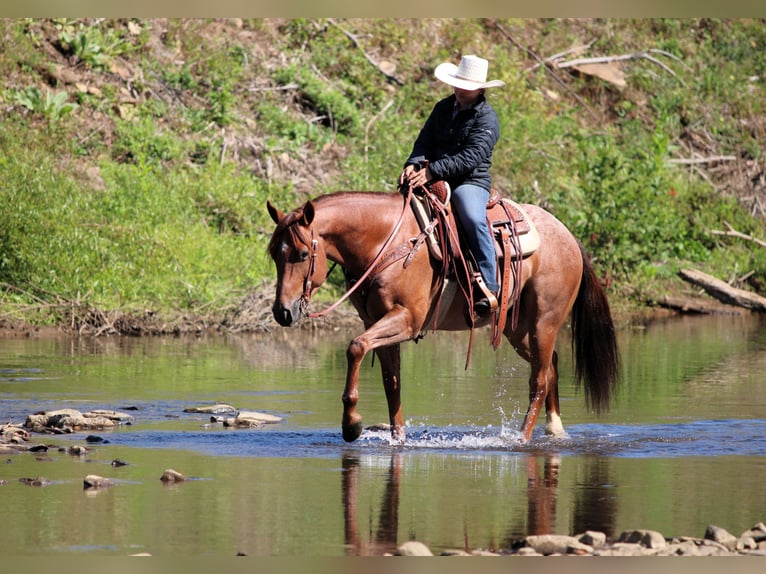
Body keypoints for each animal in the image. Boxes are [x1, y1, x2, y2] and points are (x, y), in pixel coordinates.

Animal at [267, 190, 619, 444]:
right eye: (274, 254)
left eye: (301, 254)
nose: (283, 312)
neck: (387, 242)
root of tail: (569, 236)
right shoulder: (377, 323)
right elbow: (390, 381)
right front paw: (397, 437)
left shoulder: (406, 320)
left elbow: (355, 347)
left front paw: (351, 424)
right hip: (518, 329)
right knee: (551, 365)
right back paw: (554, 430)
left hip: (545, 322)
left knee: (540, 378)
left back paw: (522, 437)